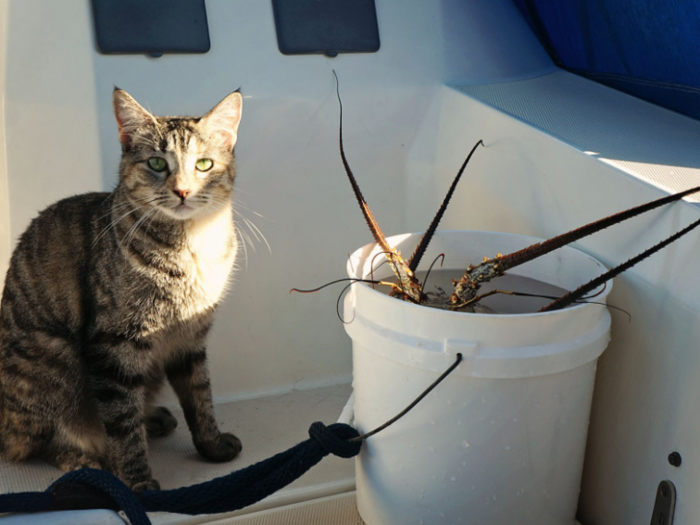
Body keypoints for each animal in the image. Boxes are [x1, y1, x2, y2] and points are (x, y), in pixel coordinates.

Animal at [0, 88, 243, 490]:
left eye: (205, 164)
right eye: (157, 163)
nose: (182, 191)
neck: (192, 246)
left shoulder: (190, 339)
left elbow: (200, 396)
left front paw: (212, 445)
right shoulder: (115, 343)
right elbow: (122, 422)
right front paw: (137, 482)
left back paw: (154, 417)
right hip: (55, 358)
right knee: (40, 442)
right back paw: (86, 461)